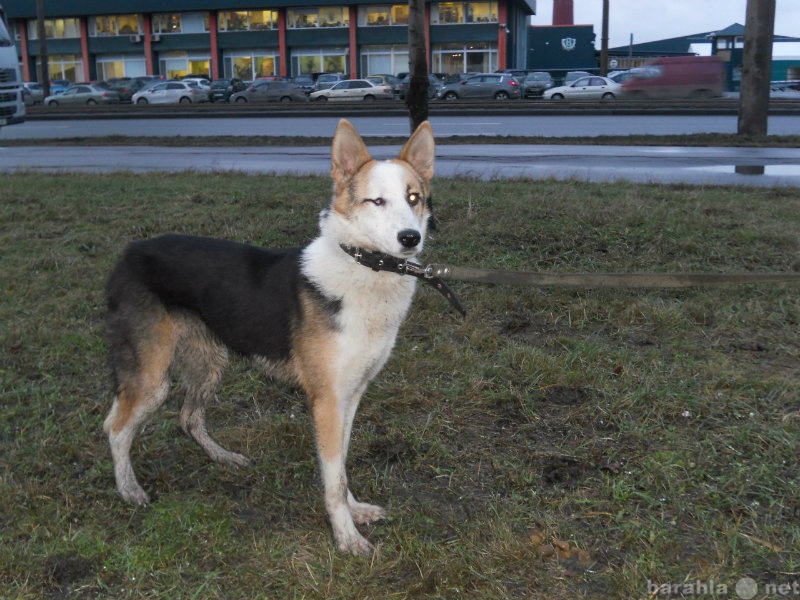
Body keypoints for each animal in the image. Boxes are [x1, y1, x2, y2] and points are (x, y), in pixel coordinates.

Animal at [104, 119, 434, 556]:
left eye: (414, 198)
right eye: (375, 201)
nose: (411, 238)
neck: (364, 265)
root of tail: (128, 253)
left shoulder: (351, 395)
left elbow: (341, 467)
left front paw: (355, 511)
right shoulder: (327, 400)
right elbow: (333, 478)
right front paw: (346, 537)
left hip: (210, 362)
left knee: (189, 418)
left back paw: (224, 458)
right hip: (151, 377)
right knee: (116, 427)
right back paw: (130, 491)